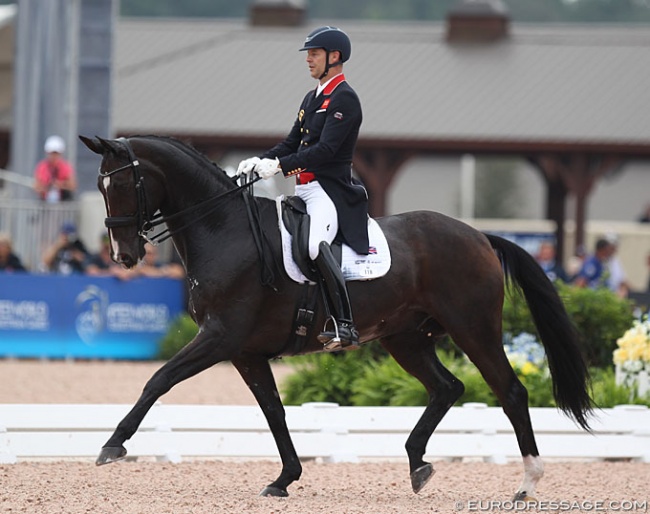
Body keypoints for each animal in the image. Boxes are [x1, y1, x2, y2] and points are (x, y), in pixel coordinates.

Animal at [78, 134, 588, 498]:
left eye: (119, 184)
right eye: (101, 187)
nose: (123, 256)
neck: (225, 230)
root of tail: (480, 236)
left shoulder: (219, 337)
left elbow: (158, 380)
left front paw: (112, 444)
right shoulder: (244, 351)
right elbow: (273, 410)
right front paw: (284, 478)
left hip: (473, 328)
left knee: (510, 392)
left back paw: (526, 483)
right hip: (405, 339)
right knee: (448, 387)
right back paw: (417, 463)